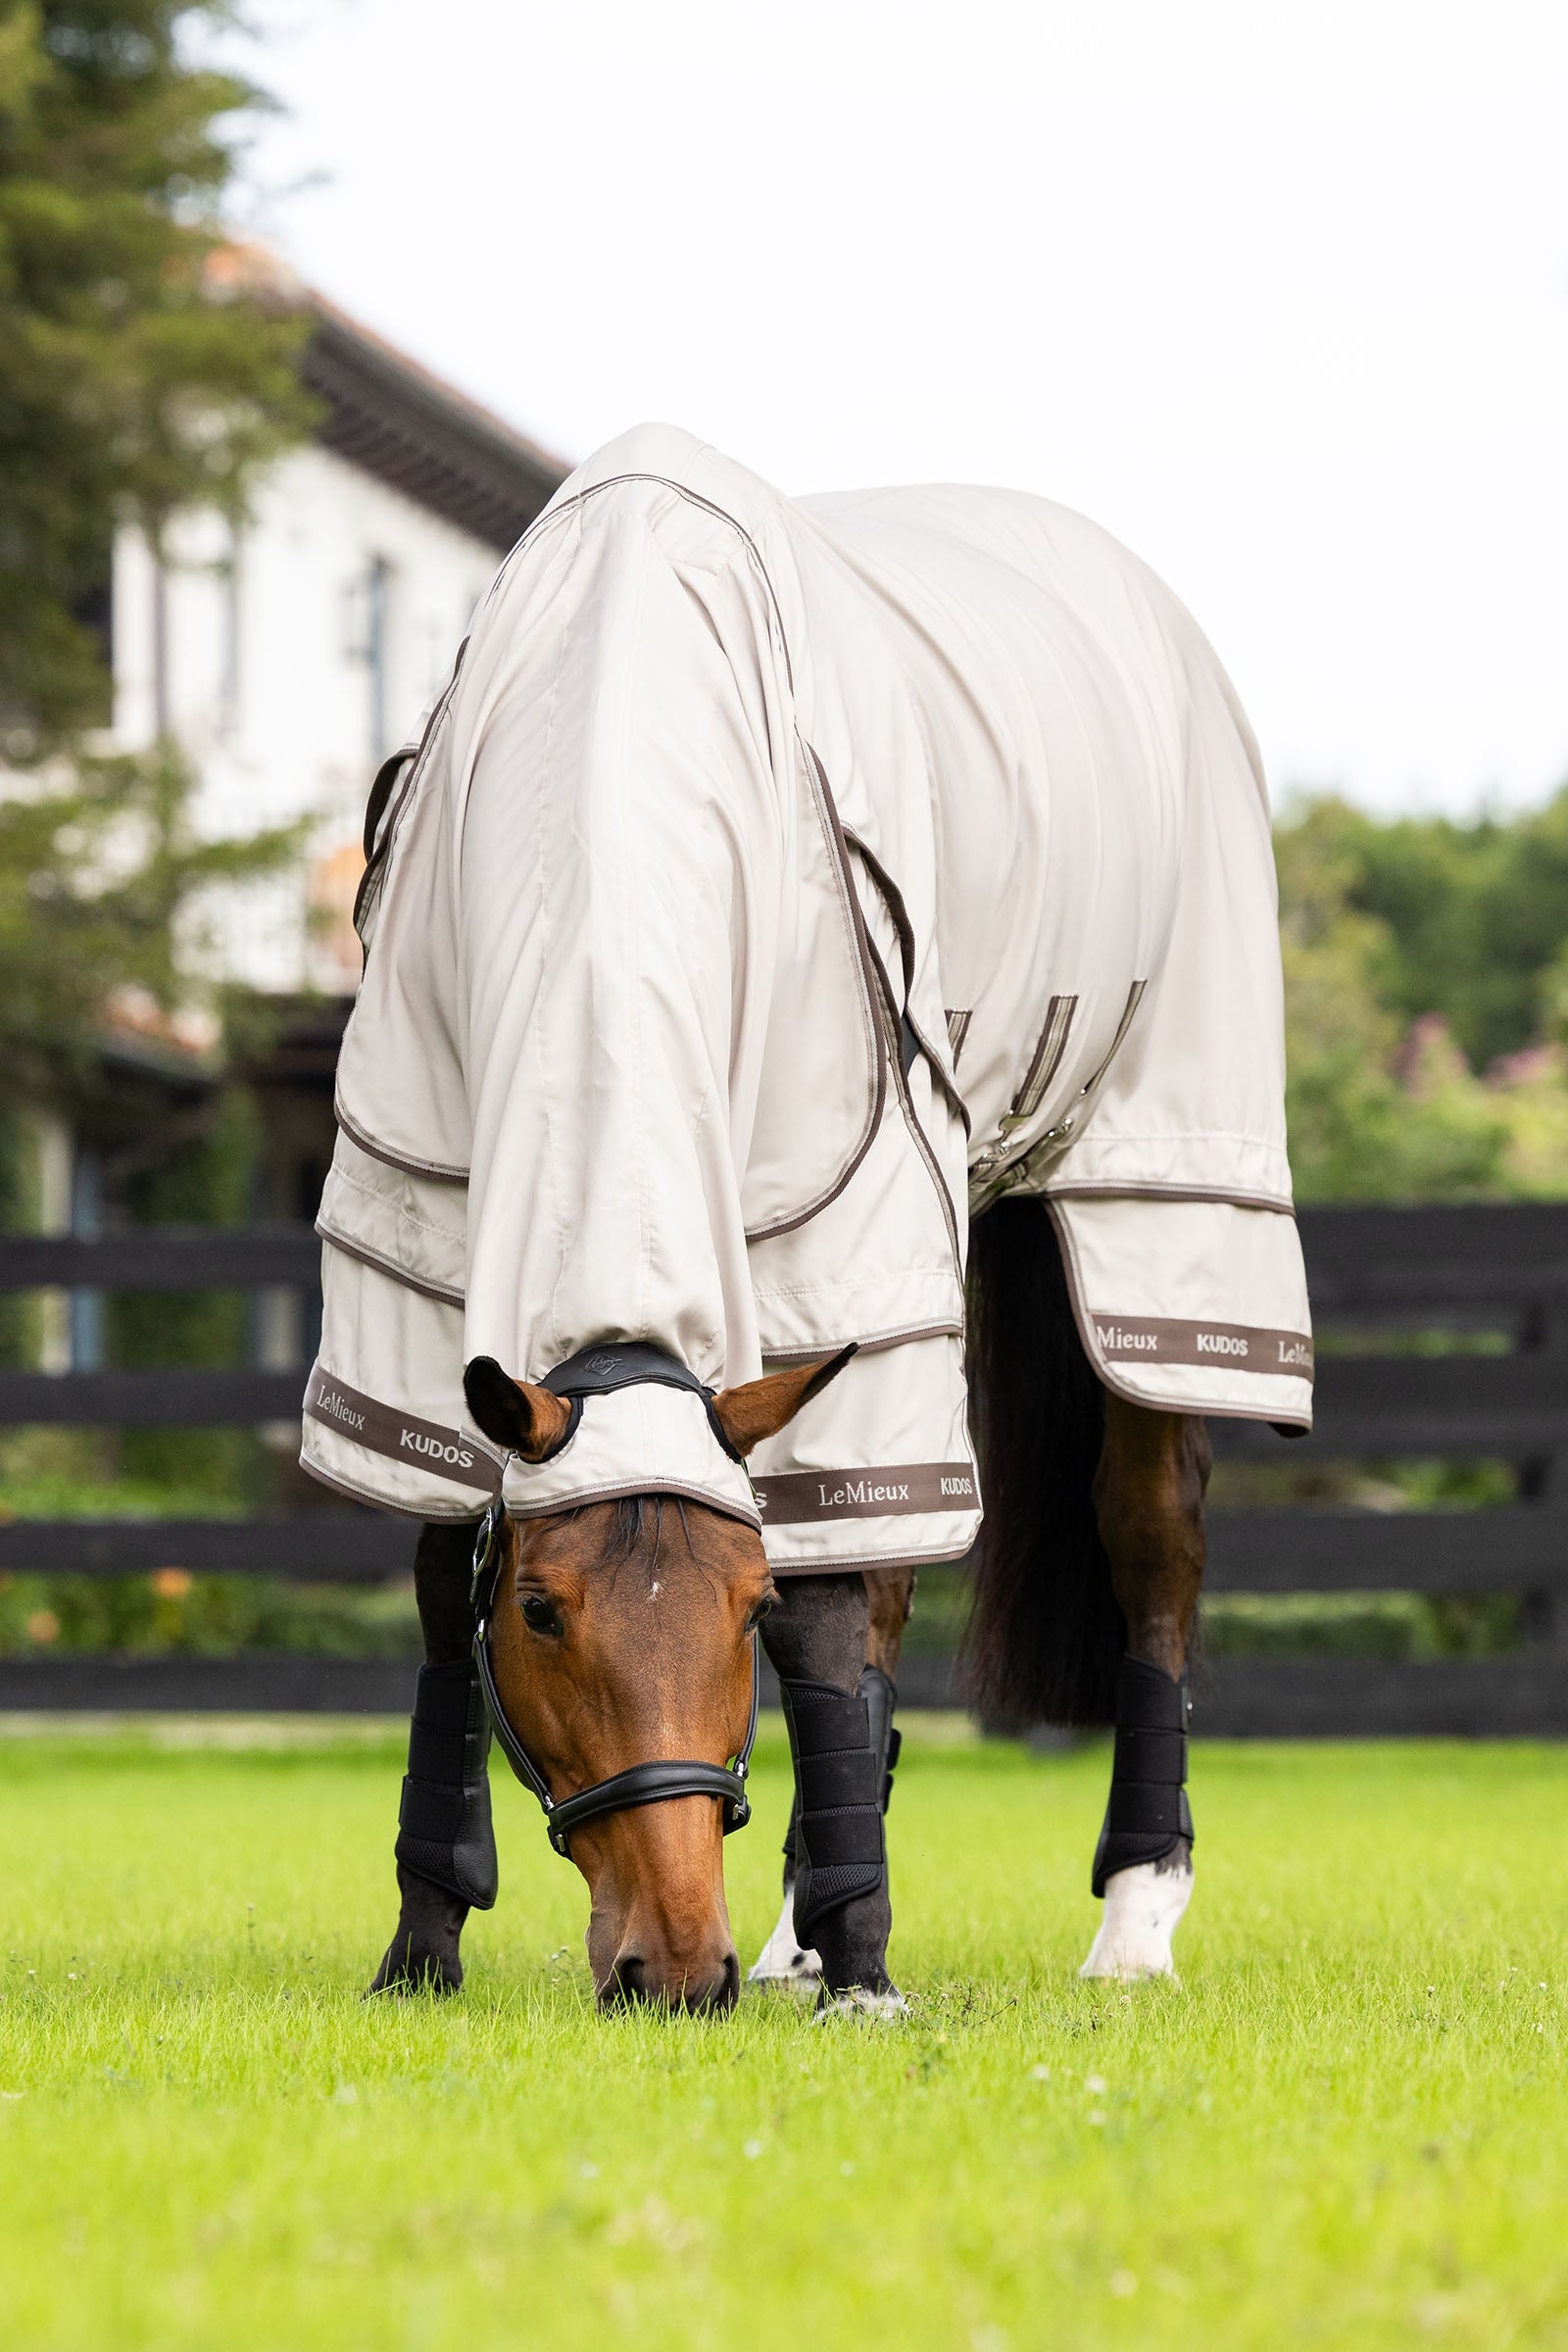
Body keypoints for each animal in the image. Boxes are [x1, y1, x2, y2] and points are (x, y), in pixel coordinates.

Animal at [302, 425, 1313, 2014]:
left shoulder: (850, 1253)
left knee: (1150, 1540)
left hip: (1155, 1215)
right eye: (540, 1611)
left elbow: (838, 1626)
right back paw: (801, 1930)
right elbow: (433, 1591)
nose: (677, 1967)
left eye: (741, 1608)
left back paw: (1129, 1921)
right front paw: (422, 1945)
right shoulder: (413, 1269)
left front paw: (868, 1967)